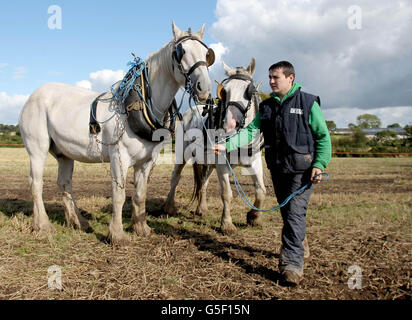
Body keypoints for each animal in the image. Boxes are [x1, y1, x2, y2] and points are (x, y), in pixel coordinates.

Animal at [18, 22, 212, 245]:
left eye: (207, 54)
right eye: (181, 52)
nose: (204, 88)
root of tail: (32, 96)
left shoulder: (147, 161)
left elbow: (140, 194)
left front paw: (141, 228)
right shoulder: (119, 157)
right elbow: (119, 194)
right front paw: (117, 234)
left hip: (64, 153)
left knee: (64, 184)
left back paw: (78, 221)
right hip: (37, 149)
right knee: (36, 183)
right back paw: (42, 224)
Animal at [163, 59, 266, 235]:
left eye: (249, 91)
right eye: (225, 92)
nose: (229, 125)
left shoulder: (255, 162)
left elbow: (261, 191)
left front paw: (254, 217)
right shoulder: (222, 163)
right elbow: (226, 193)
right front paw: (227, 224)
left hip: (208, 162)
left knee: (203, 182)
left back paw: (202, 209)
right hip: (182, 155)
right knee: (175, 178)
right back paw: (169, 207)